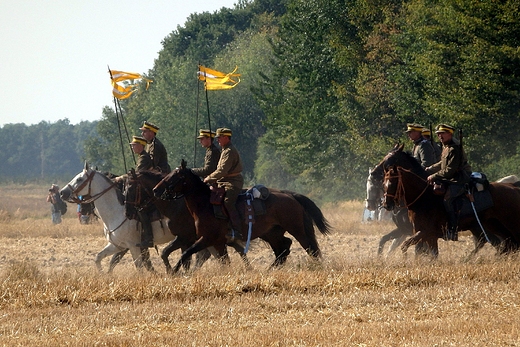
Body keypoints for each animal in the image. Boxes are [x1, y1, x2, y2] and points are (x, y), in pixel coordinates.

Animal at [150, 160, 332, 274]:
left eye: (175, 176)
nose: (156, 190)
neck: (204, 205)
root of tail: (290, 195)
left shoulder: (206, 239)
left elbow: (186, 253)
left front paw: (174, 271)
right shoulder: (217, 242)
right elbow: (223, 260)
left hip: (297, 229)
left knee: (309, 248)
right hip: (271, 233)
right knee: (284, 248)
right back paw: (270, 269)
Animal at [380, 148, 520, 256]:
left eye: (392, 183)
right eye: (384, 184)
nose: (387, 204)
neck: (424, 198)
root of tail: (514, 186)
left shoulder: (425, 232)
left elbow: (409, 246)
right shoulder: (422, 233)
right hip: (490, 225)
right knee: (503, 245)